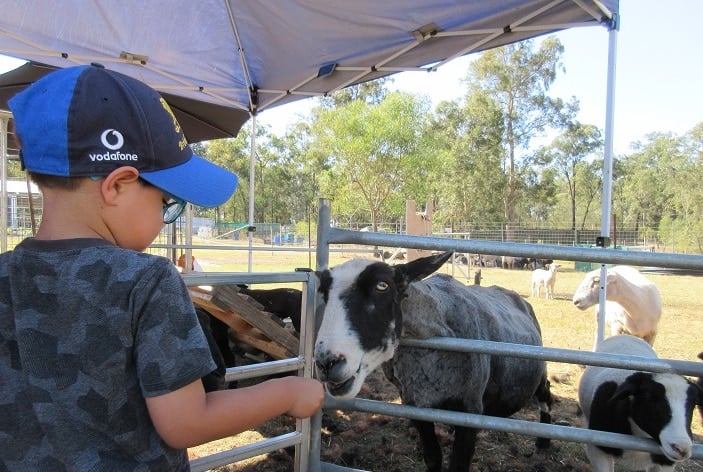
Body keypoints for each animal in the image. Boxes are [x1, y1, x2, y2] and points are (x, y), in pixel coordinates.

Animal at [314, 251, 552, 472]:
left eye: (382, 285)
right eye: (324, 293)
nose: (327, 362)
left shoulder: (471, 409)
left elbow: (457, 465)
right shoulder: (416, 405)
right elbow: (432, 458)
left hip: (538, 371)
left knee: (546, 394)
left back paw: (543, 442)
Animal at [578, 335, 702, 471]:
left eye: (694, 404)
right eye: (649, 397)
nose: (681, 449)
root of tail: (625, 336)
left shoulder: (665, 463)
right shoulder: (598, 450)